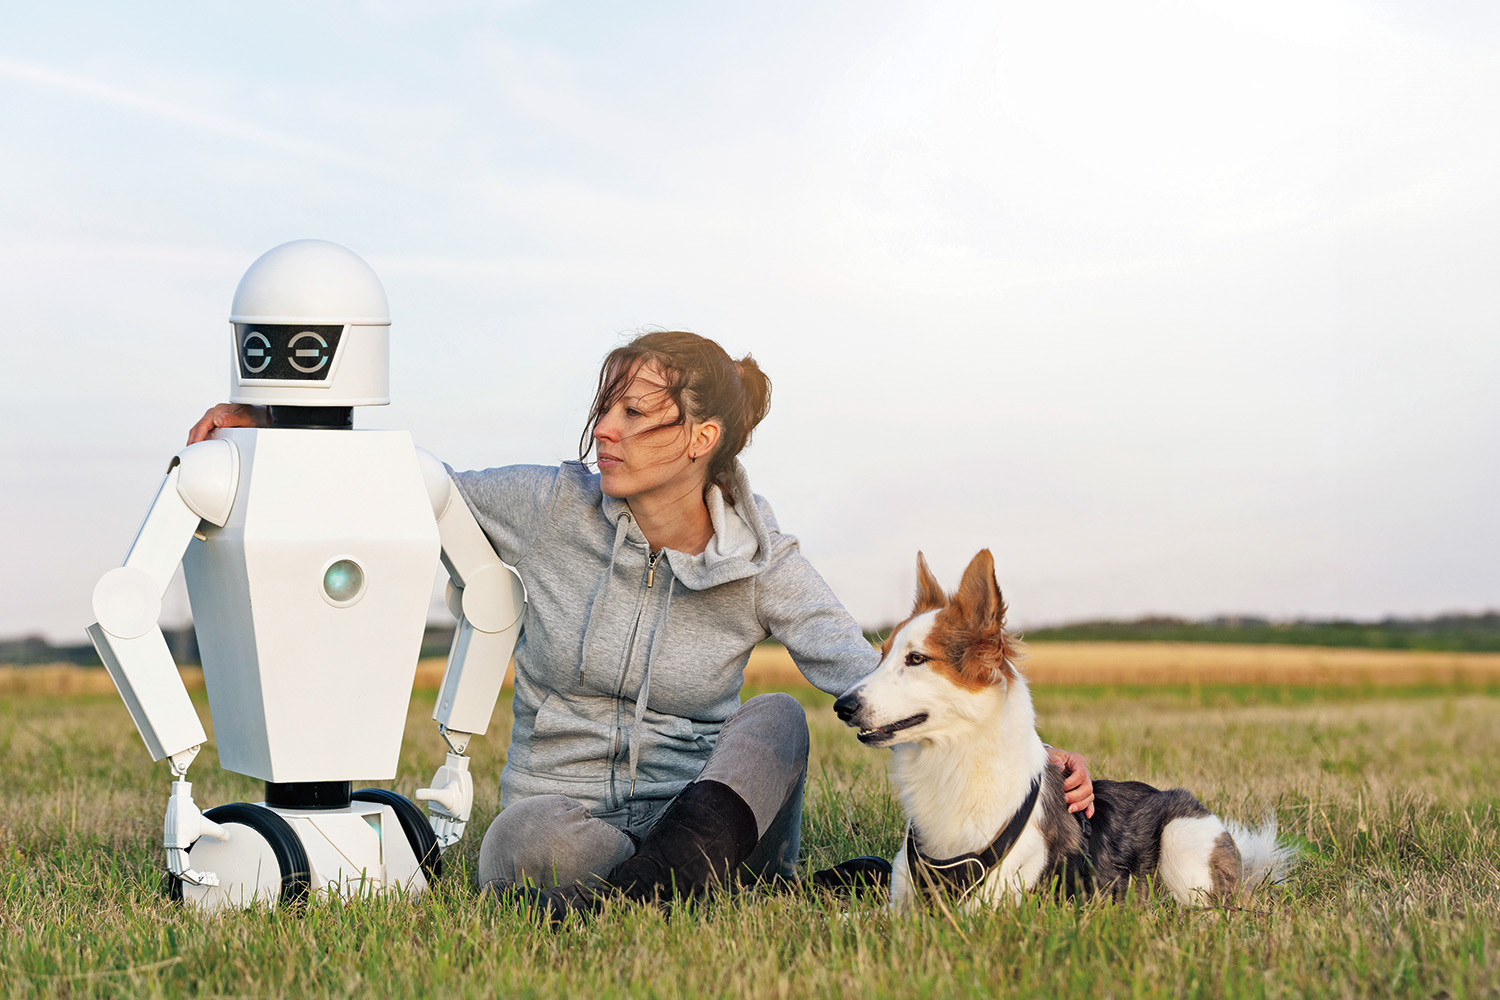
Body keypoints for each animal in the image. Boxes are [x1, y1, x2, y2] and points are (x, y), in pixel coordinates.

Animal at [840, 551, 1296, 911]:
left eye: (917, 659)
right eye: (881, 656)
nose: (842, 706)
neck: (951, 761)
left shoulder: (985, 912)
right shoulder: (900, 905)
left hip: (1183, 844)